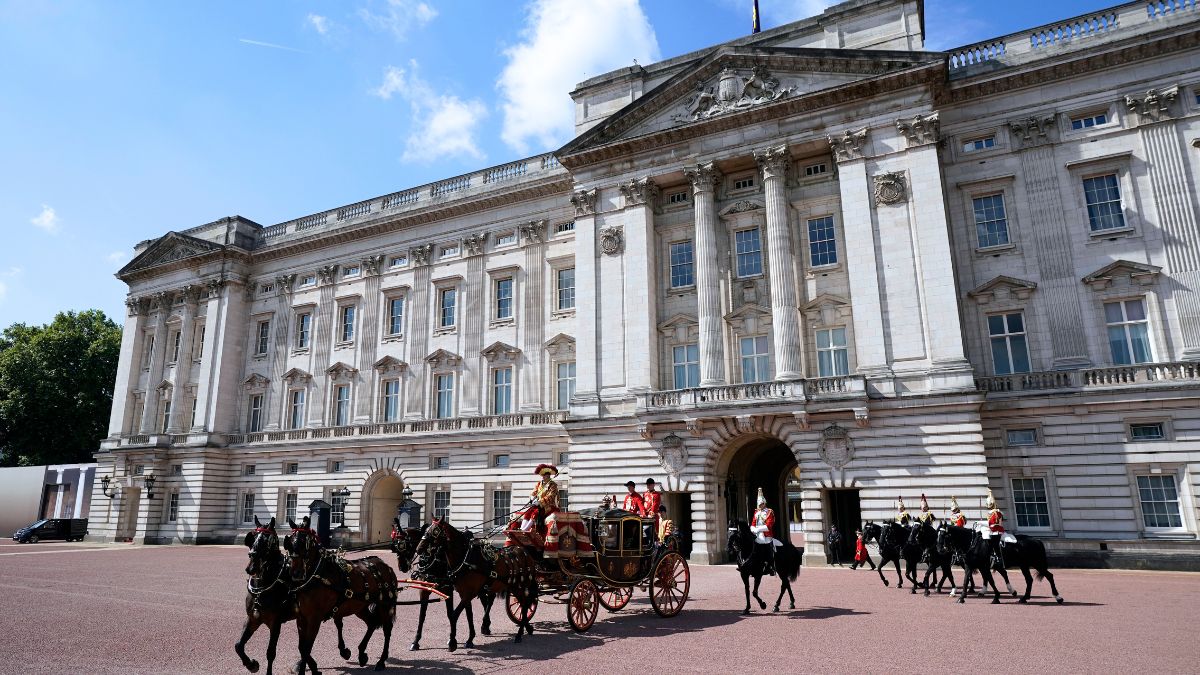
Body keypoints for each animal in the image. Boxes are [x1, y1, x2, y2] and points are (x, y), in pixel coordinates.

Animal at [230, 514, 350, 672]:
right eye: (252, 537)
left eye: (267, 541)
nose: (251, 567)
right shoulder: (253, 618)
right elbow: (238, 645)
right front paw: (251, 664)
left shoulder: (275, 623)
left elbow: (271, 653)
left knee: (337, 625)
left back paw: (343, 650)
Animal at [286, 516, 400, 667]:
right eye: (289, 543)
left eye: (305, 543)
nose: (296, 573)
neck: (319, 575)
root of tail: (386, 566)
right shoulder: (301, 618)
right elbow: (302, 647)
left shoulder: (314, 619)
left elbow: (306, 648)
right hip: (360, 607)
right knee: (372, 623)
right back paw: (362, 652)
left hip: (384, 605)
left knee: (387, 628)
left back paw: (381, 661)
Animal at [388, 516, 492, 648]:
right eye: (395, 546)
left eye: (403, 545)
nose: (402, 567)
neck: (434, 560)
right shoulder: (424, 590)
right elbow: (422, 615)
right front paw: (416, 640)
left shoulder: (448, 590)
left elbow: (450, 614)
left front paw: (452, 639)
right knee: (474, 606)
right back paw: (476, 633)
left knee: (485, 602)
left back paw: (483, 627)